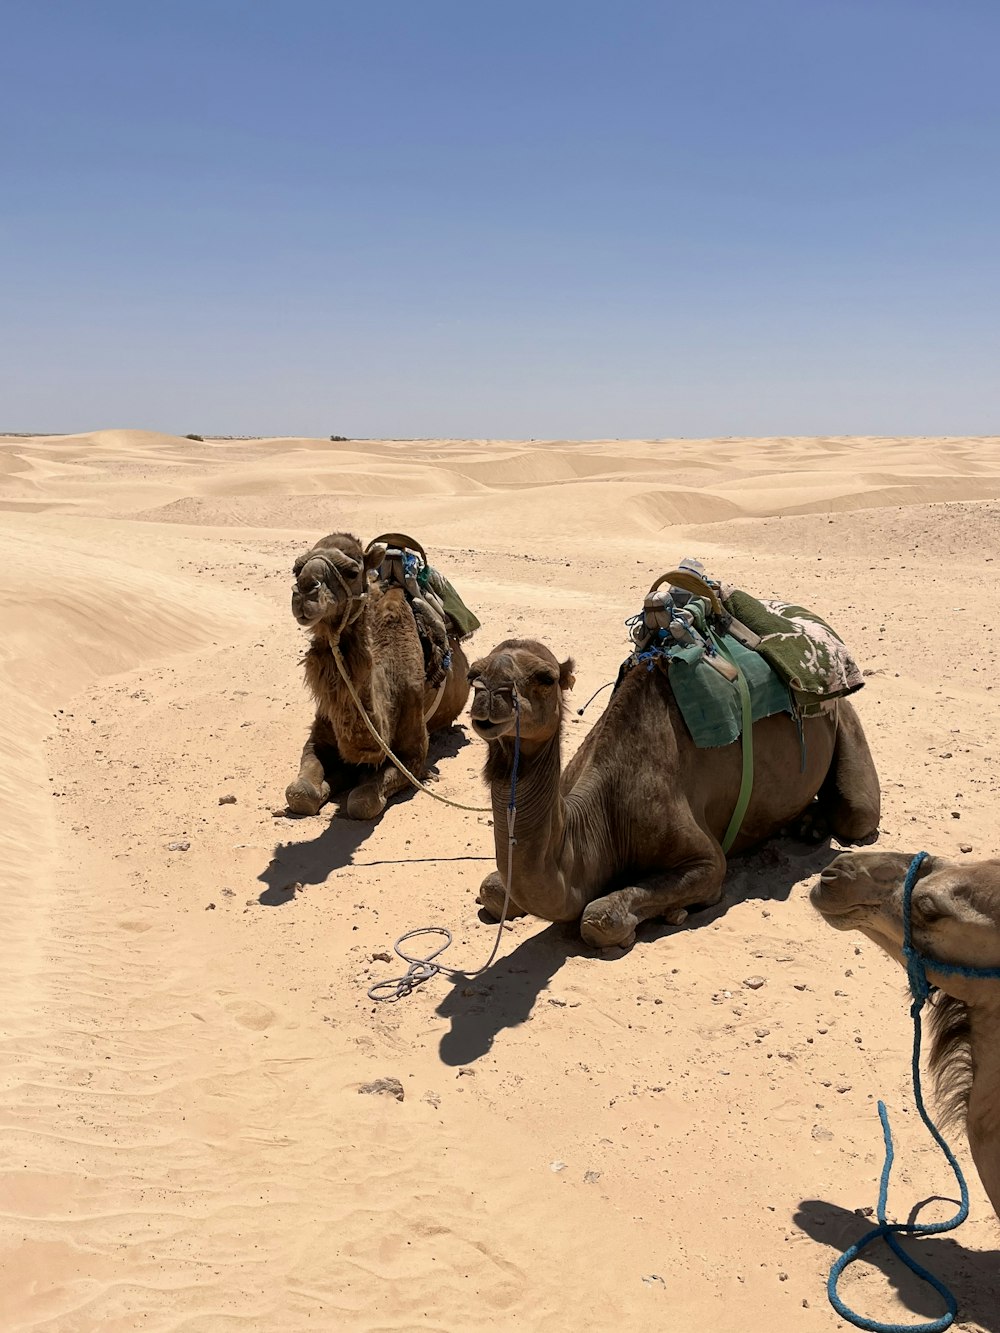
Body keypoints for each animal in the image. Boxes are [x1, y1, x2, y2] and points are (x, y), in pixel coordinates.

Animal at [285, 535, 474, 815]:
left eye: (352, 572)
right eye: (296, 568)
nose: (305, 590)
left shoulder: (413, 754)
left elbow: (363, 801)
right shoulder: (318, 734)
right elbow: (300, 793)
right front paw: (334, 781)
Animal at [469, 567, 874, 954]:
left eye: (545, 677)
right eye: (474, 671)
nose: (489, 693)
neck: (598, 825)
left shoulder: (705, 861)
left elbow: (598, 916)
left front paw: (668, 915)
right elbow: (492, 889)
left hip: (844, 718)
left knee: (856, 814)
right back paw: (806, 823)